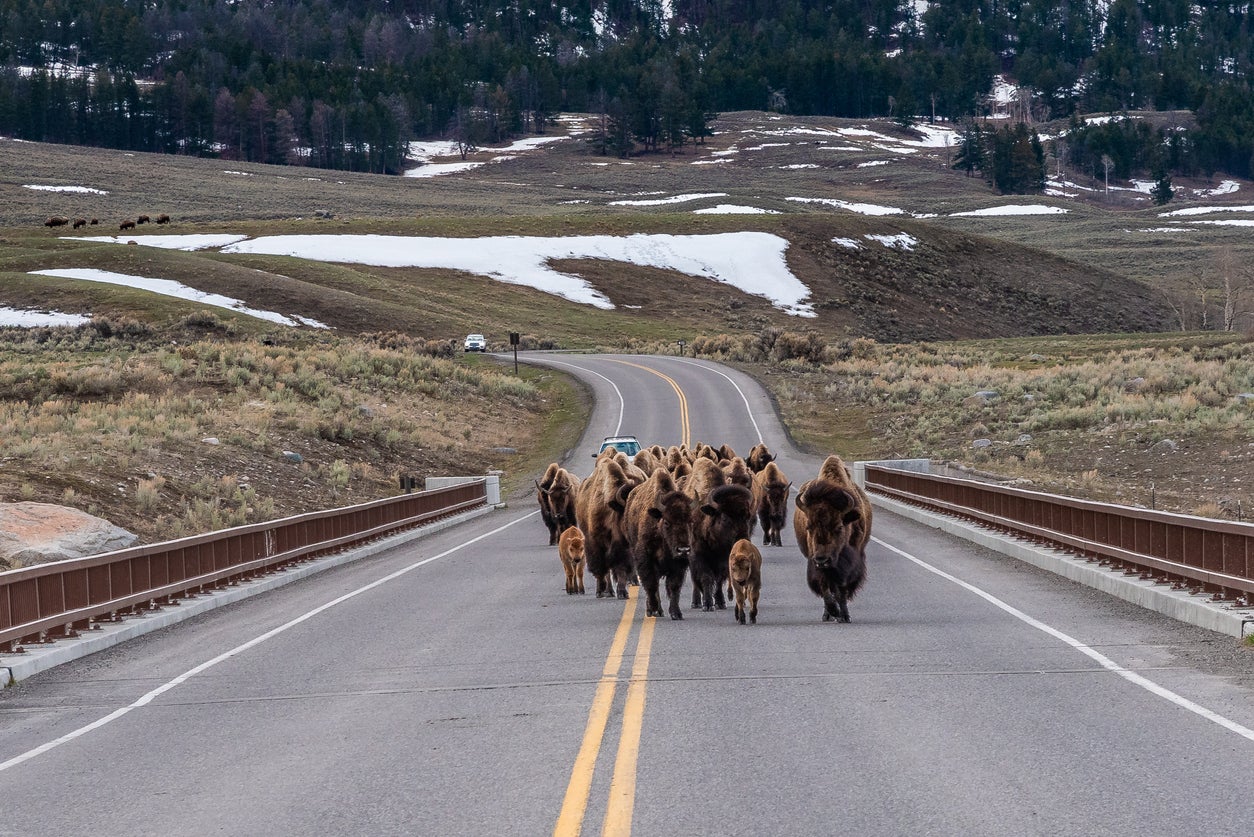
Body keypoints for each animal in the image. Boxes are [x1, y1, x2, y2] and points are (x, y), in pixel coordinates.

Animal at [624, 471, 697, 622]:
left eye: (691, 521)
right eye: (667, 522)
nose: (683, 550)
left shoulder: (679, 565)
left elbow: (674, 587)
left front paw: (676, 613)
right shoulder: (646, 560)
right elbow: (651, 585)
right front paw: (653, 610)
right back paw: (654, 610)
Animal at [792, 451, 872, 622]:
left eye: (839, 527)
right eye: (808, 527)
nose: (823, 559)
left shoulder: (847, 565)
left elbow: (841, 589)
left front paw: (844, 615)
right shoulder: (815, 562)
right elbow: (825, 587)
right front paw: (833, 611)